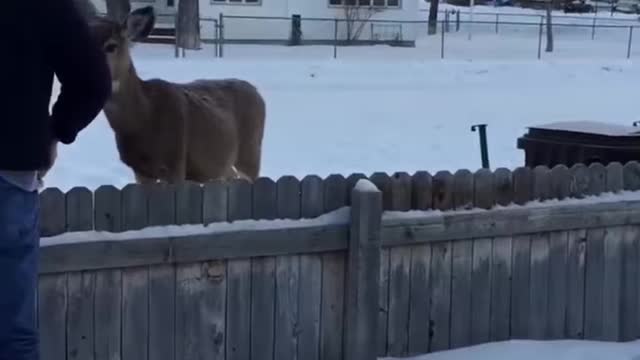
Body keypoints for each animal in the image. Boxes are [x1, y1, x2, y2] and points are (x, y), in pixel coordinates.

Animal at [85, 5, 264, 186]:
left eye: (111, 46)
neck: (144, 118)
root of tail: (256, 91)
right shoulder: (140, 171)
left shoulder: (176, 162)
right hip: (224, 165)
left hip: (251, 152)